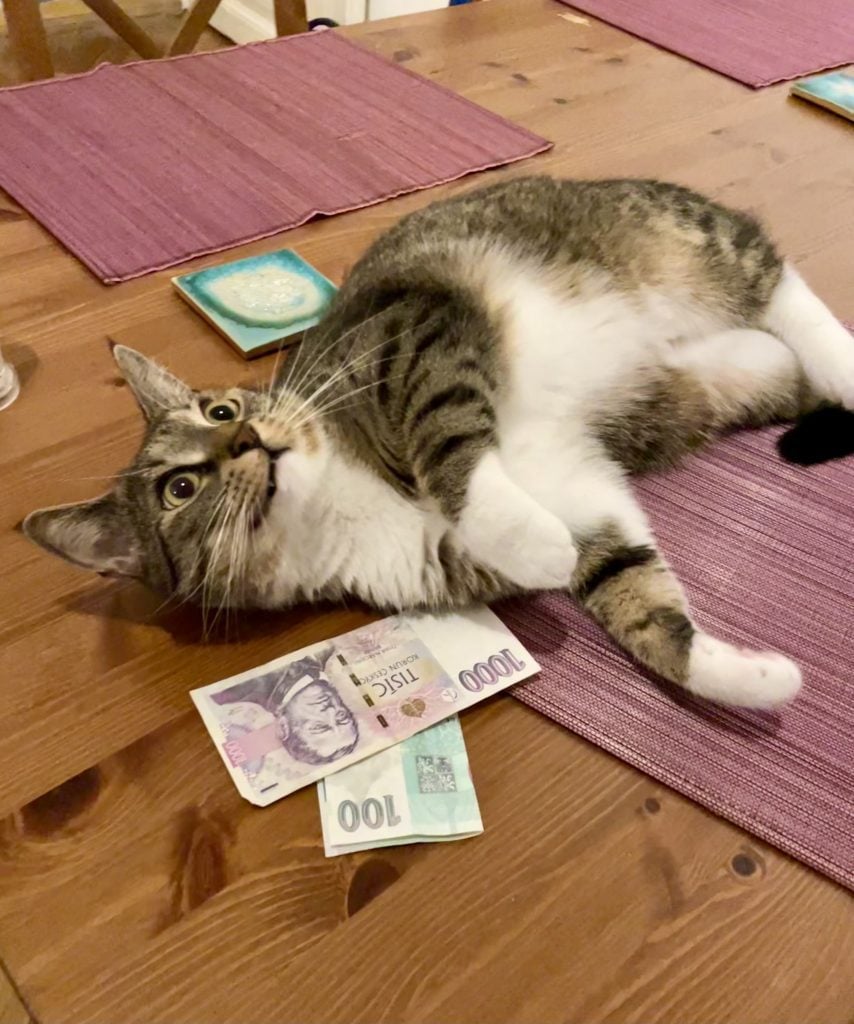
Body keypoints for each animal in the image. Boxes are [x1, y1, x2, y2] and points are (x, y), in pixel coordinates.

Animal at [21, 178, 851, 704]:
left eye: (221, 410)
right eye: (181, 488)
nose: (248, 437)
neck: (338, 497)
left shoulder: (408, 339)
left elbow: (450, 445)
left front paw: (525, 533)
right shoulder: (566, 491)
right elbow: (629, 589)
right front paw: (751, 678)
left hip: (684, 241)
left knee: (779, 283)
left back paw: (843, 363)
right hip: (735, 380)